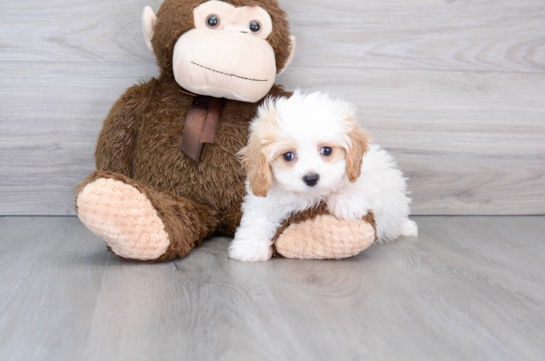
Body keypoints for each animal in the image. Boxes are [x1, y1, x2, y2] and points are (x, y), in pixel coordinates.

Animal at [227, 91, 414, 262]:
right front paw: (250, 246)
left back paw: (405, 226)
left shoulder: (365, 172)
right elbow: (257, 216)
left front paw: (346, 203)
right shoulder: (264, 191)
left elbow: (354, 184)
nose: (311, 178)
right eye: (288, 155)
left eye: (327, 150)